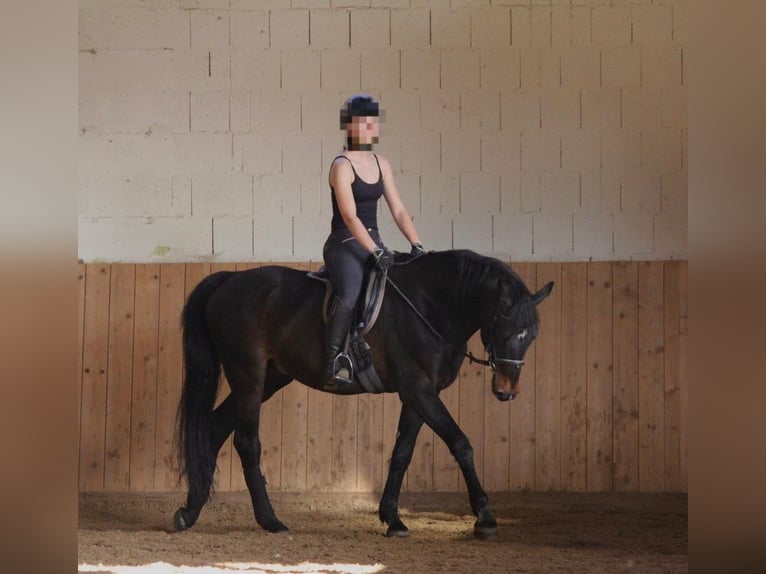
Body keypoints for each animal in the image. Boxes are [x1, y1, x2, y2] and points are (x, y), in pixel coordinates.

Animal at [177, 249, 556, 540]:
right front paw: (485, 518)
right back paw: (270, 521)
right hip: (248, 374)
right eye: (502, 326)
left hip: (270, 378)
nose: (507, 391)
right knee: (246, 442)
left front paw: (393, 518)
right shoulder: (419, 390)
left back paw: (189, 512)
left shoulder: (418, 395)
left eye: (532, 335)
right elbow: (461, 444)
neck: (430, 306)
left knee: (213, 429)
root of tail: (230, 280)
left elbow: (402, 453)